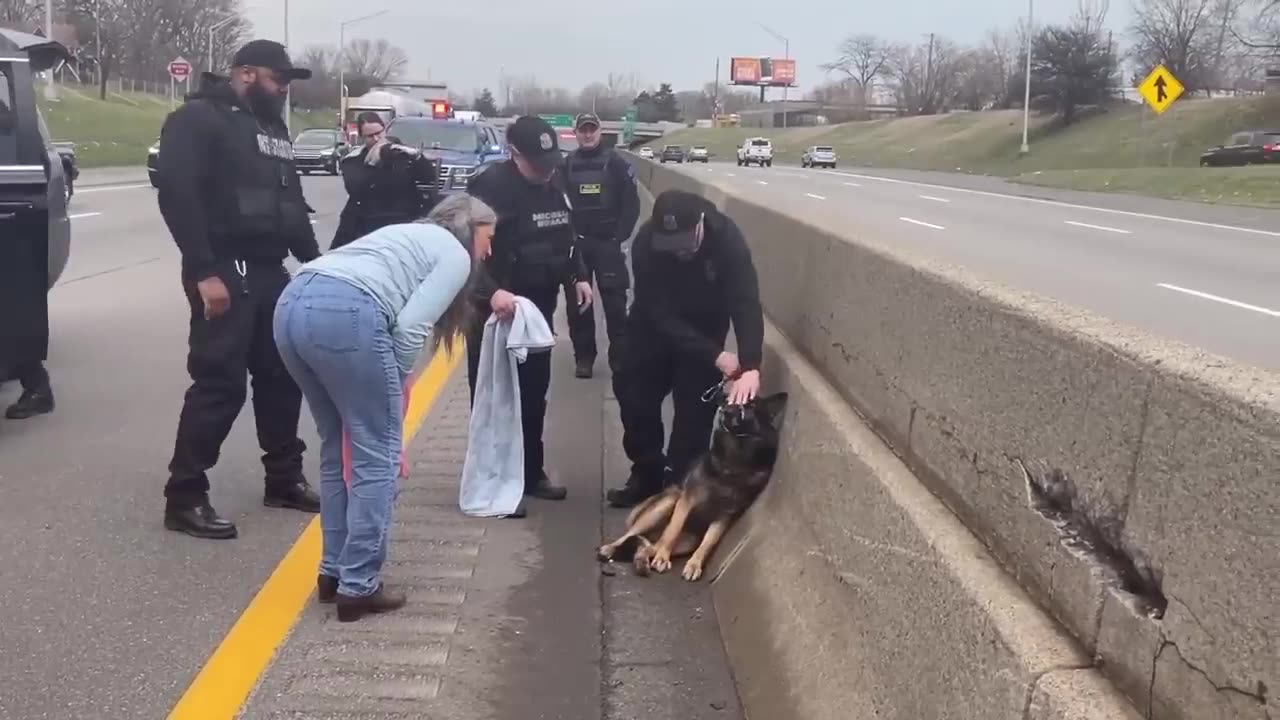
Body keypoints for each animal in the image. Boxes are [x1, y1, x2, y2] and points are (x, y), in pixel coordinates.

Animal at [593, 384, 783, 579]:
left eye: (751, 405)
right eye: (733, 400)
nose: (725, 407)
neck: (731, 464)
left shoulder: (723, 517)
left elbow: (707, 543)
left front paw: (694, 564)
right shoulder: (686, 501)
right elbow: (673, 530)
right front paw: (663, 557)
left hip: (688, 541)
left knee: (646, 546)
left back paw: (642, 561)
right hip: (667, 503)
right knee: (633, 535)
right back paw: (611, 549)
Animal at [606, 188, 762, 507]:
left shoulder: (734, 248)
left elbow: (745, 299)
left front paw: (749, 373)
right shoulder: (643, 251)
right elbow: (661, 309)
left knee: (690, 412)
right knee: (636, 398)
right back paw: (645, 482)